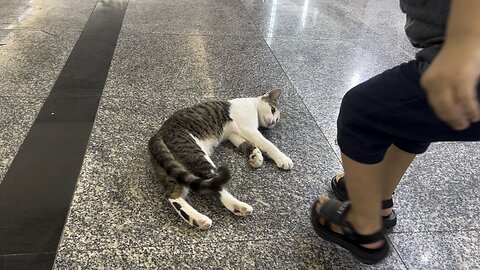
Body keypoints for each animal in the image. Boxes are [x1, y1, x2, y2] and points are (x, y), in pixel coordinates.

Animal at [148, 89, 292, 230]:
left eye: (277, 119)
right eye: (272, 110)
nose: (273, 123)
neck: (252, 104)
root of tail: (158, 134)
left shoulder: (233, 135)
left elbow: (246, 144)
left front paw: (255, 156)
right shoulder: (249, 129)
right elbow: (267, 144)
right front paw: (283, 159)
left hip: (174, 169)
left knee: (172, 195)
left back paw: (197, 219)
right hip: (197, 156)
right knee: (214, 186)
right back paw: (239, 206)